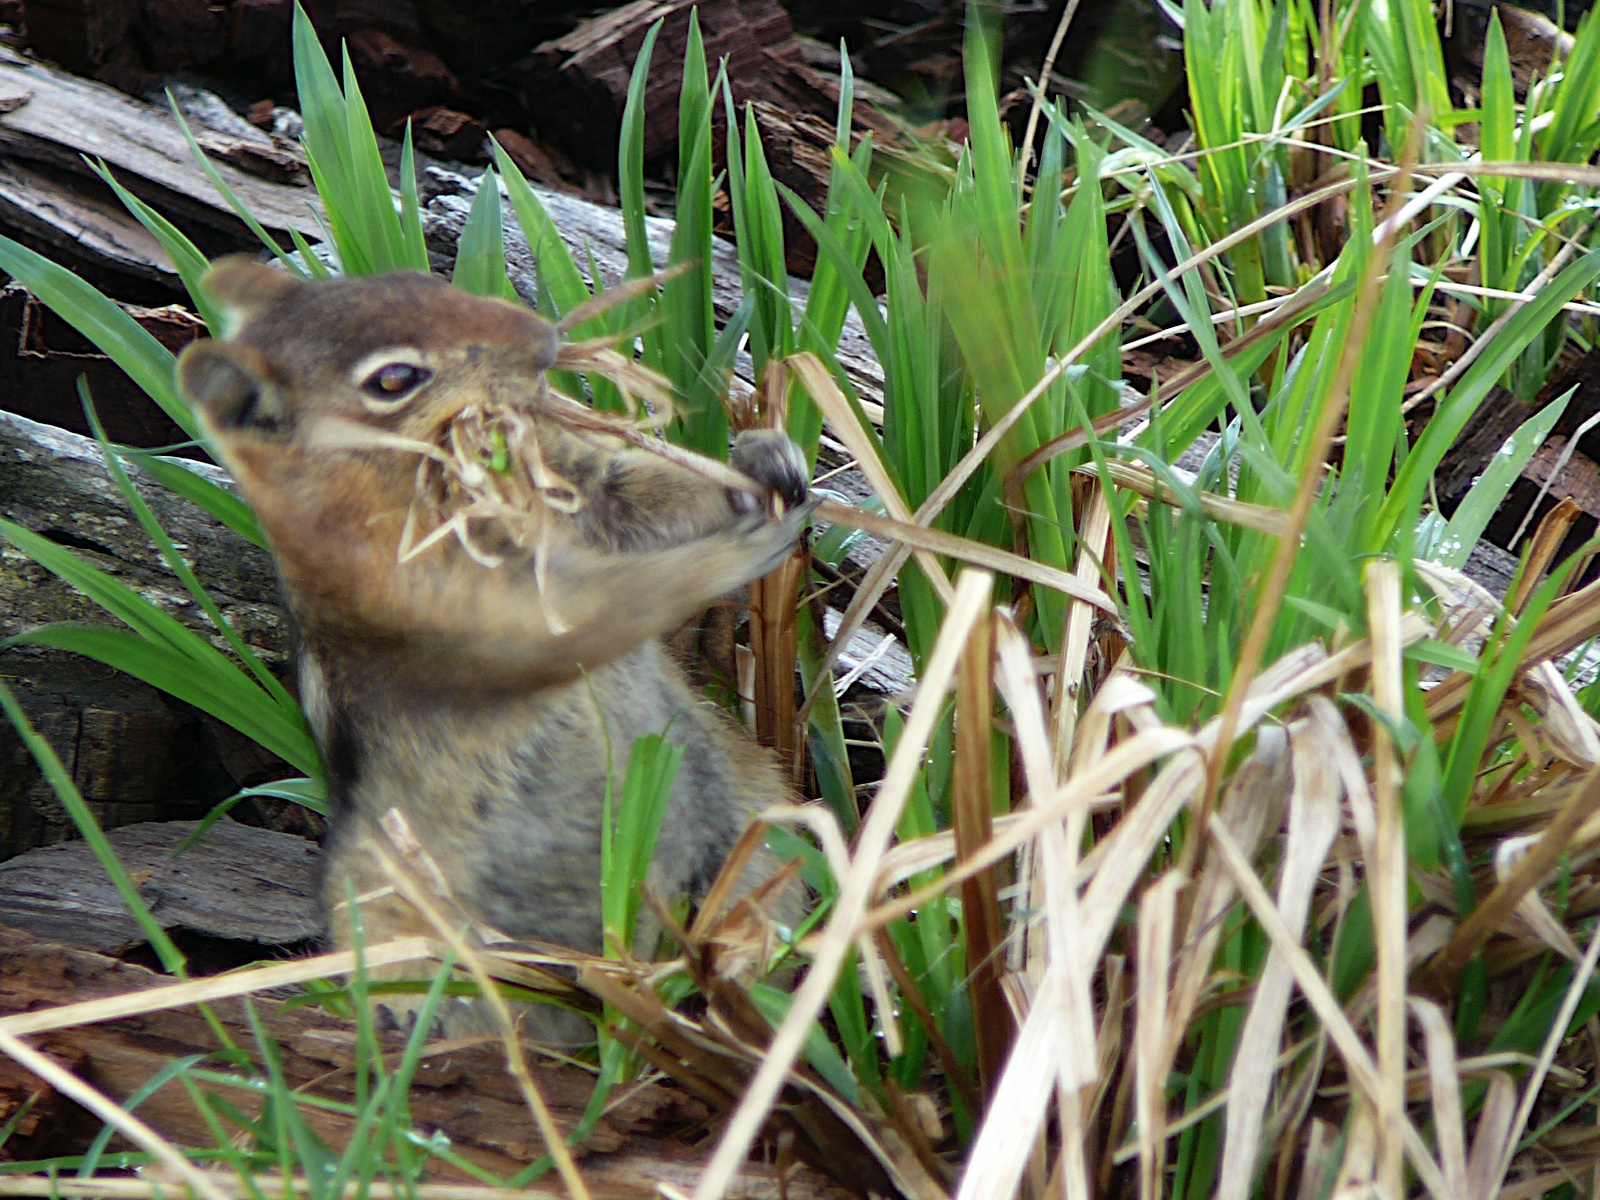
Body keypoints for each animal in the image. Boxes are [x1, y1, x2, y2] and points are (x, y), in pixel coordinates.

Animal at [176, 258, 812, 1040]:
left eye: (421, 279)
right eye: (394, 379)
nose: (544, 342)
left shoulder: (578, 495)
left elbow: (629, 498)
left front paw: (763, 464)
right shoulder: (448, 606)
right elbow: (604, 608)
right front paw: (736, 551)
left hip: (753, 810)